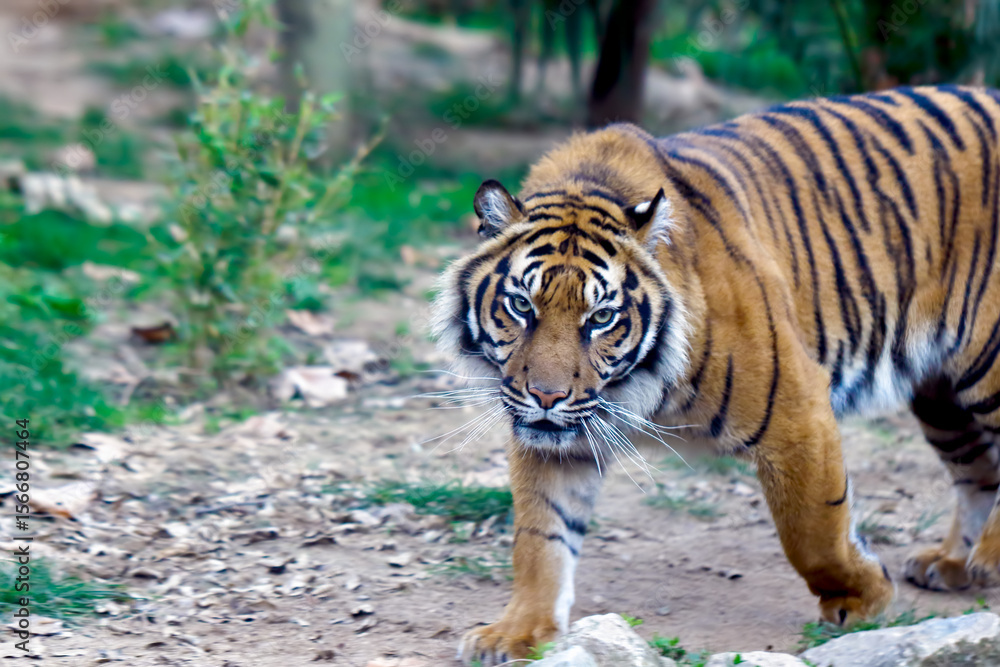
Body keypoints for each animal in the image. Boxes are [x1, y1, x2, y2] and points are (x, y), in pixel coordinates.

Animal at [431, 84, 1000, 666]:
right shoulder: (555, 438)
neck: (638, 388)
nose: (546, 395)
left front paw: (863, 598)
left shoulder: (798, 411)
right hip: (940, 397)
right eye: (522, 306)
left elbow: (814, 529)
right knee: (978, 472)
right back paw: (952, 563)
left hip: (985, 363)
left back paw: (987, 560)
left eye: (602, 317)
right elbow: (540, 536)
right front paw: (518, 633)